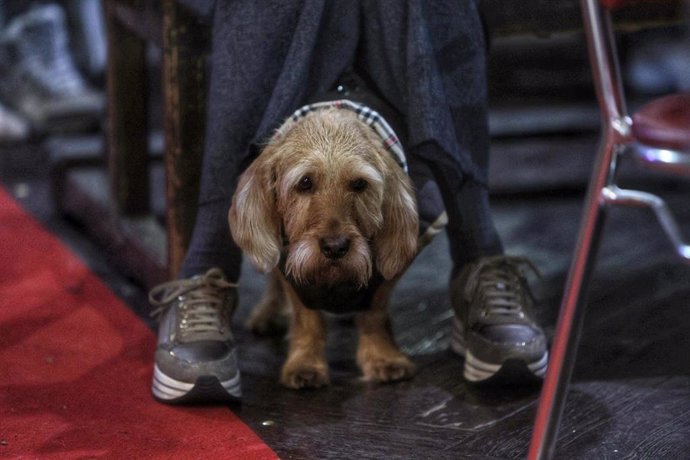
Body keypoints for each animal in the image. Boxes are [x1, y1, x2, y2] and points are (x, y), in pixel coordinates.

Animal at [228, 105, 416, 388]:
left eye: (359, 184)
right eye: (305, 182)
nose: (335, 247)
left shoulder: (388, 268)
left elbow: (374, 311)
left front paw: (383, 357)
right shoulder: (292, 264)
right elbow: (307, 318)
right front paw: (305, 363)